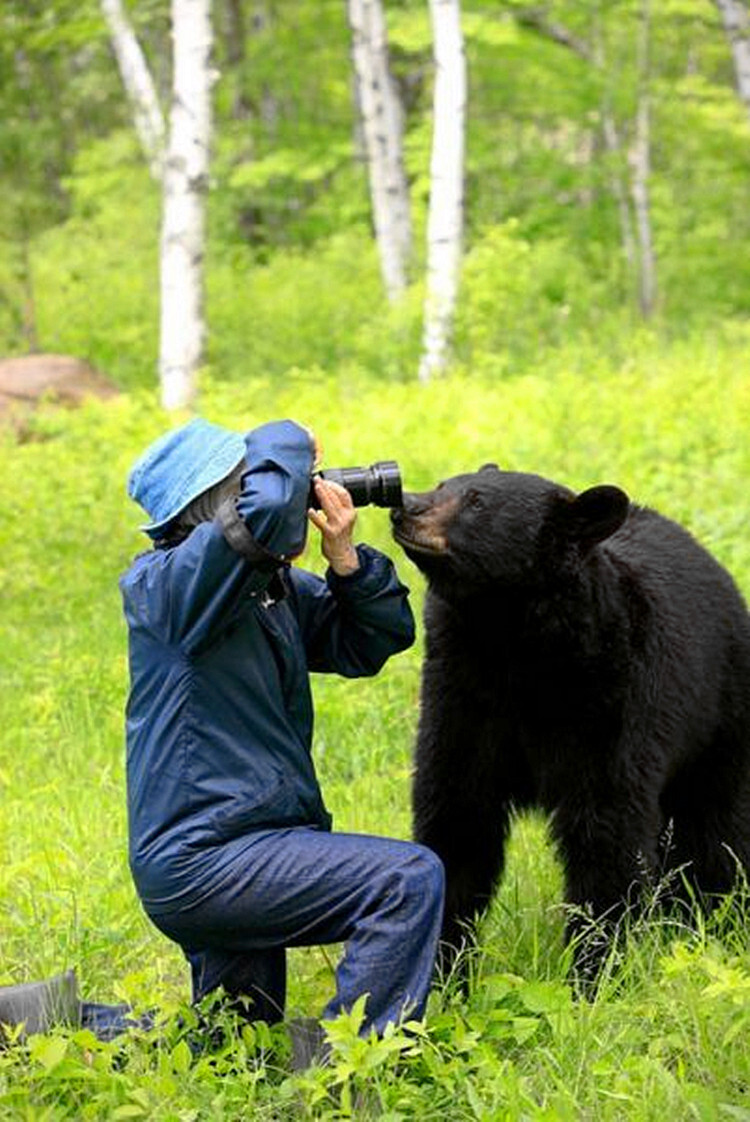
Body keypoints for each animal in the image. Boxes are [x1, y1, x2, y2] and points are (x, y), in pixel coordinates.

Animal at [390, 464, 750, 973]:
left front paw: (594, 968)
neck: (512, 643)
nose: (405, 507)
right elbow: (457, 815)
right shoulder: (462, 693)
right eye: (444, 485)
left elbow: (605, 832)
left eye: (477, 502)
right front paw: (445, 965)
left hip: (719, 723)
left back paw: (720, 920)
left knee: (717, 833)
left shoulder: (613, 700)